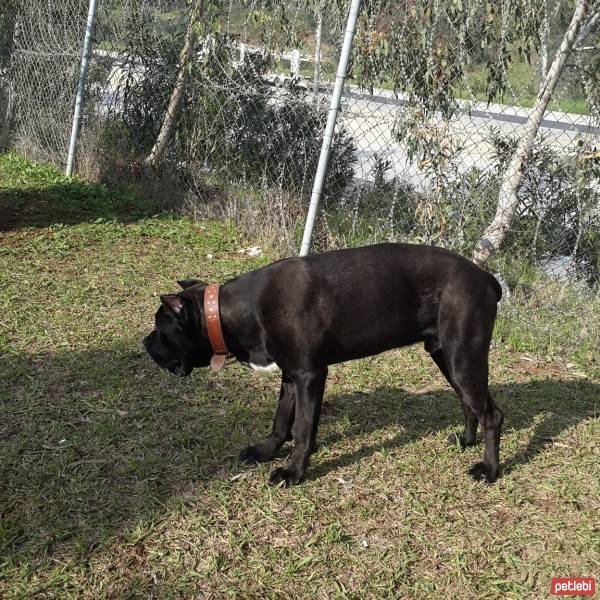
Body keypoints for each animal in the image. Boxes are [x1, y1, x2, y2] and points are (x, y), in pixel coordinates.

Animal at [143, 244, 504, 488]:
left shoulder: (309, 376)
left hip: (462, 357)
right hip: (450, 358)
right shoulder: (290, 378)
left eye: (160, 329)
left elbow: (303, 429)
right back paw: (466, 441)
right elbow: (280, 422)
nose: (145, 343)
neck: (239, 310)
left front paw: (293, 471)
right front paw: (266, 451)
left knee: (492, 415)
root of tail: (488, 278)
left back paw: (490, 470)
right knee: (471, 403)